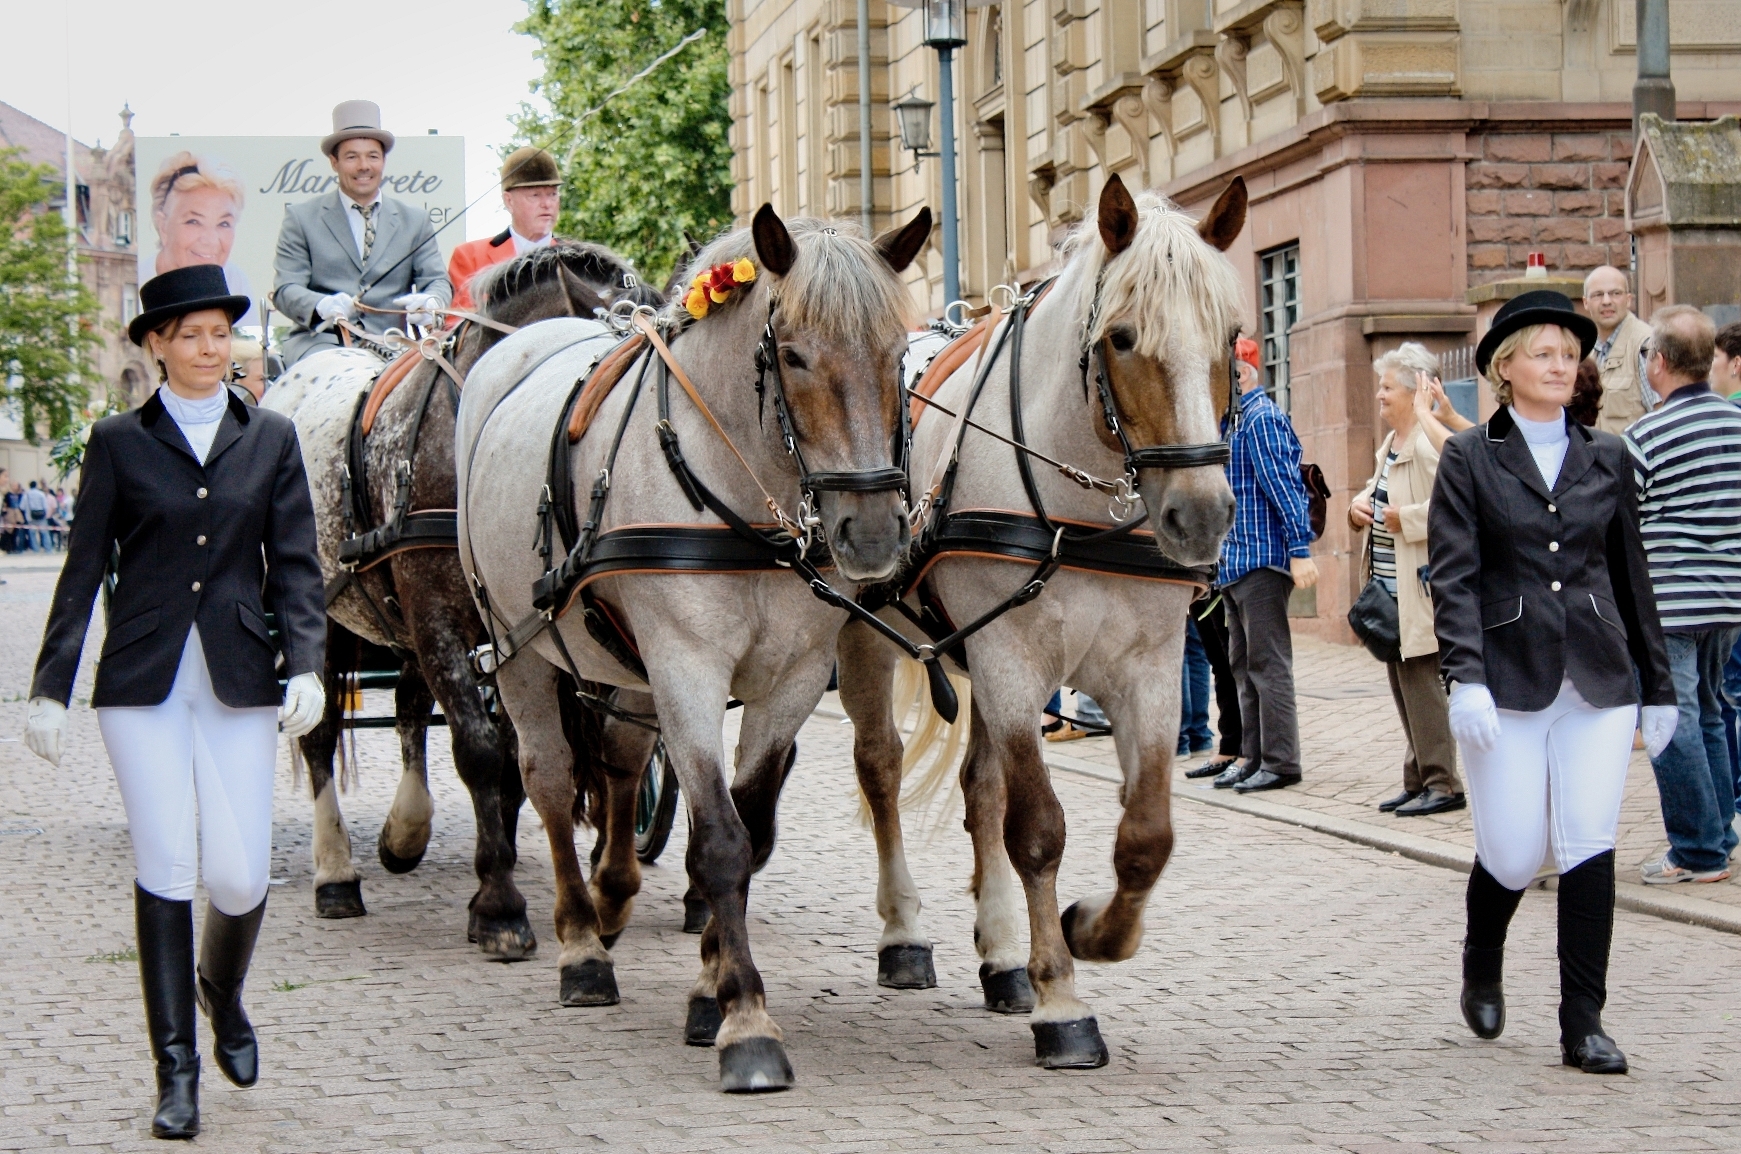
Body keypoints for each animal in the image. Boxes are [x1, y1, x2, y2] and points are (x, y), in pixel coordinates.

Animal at [264, 241, 658, 953]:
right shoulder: (441, 617)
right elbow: (480, 749)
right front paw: (499, 907)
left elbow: (527, 755)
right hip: (332, 616)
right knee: (320, 732)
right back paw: (335, 873)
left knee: (409, 706)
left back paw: (405, 830)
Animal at [456, 202, 933, 1100]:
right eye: (793, 354)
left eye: (898, 354)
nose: (872, 533)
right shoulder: (685, 669)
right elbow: (718, 839)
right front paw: (746, 1022)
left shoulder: (789, 681)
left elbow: (745, 826)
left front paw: (711, 989)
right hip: (513, 644)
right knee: (546, 777)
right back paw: (577, 945)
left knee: (615, 762)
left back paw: (610, 899)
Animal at [839, 175, 1253, 1072]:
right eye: (1122, 338)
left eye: (1232, 335)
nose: (1201, 516)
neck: (1080, 507)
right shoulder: (1009, 661)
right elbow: (1036, 830)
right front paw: (1063, 999)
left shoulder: (1147, 671)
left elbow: (1145, 835)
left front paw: (1090, 931)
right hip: (865, 634)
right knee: (881, 768)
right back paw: (904, 934)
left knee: (979, 789)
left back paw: (1001, 955)